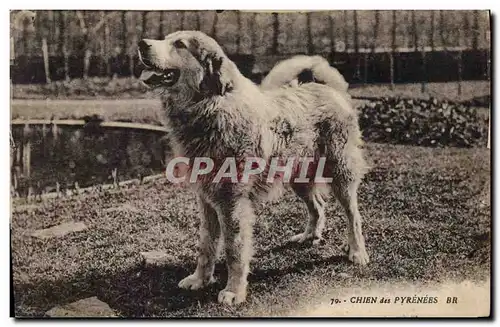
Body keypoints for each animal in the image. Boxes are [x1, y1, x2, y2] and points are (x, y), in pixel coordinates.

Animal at [139, 32, 370, 306]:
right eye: (167, 39)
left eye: (179, 44)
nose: (142, 44)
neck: (212, 106)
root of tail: (328, 89)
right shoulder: (207, 200)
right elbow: (206, 245)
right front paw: (199, 279)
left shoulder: (232, 202)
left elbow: (234, 249)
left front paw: (234, 291)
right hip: (298, 177)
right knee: (318, 205)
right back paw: (309, 235)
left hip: (340, 173)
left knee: (353, 214)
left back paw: (357, 251)